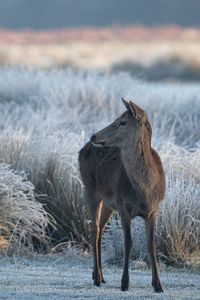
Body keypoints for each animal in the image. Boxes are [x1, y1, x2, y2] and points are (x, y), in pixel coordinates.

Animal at [79, 98, 165, 292]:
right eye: (116, 119)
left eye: (123, 122)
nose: (93, 136)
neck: (144, 191)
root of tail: (82, 149)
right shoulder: (124, 208)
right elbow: (128, 243)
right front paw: (124, 283)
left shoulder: (153, 210)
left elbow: (151, 244)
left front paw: (158, 284)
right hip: (90, 190)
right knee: (94, 229)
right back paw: (97, 277)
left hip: (109, 203)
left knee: (101, 228)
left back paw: (100, 276)